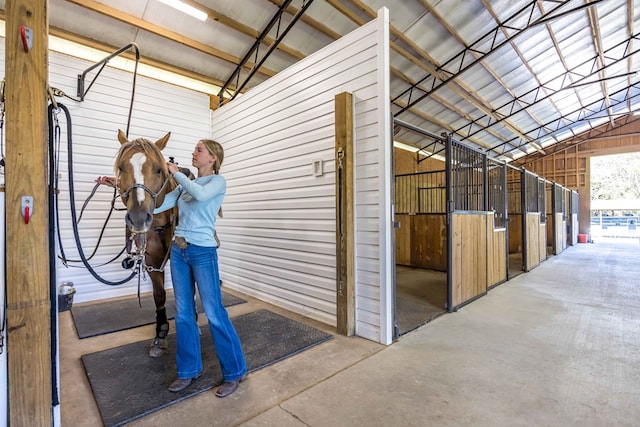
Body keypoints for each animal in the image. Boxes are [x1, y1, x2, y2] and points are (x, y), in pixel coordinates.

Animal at [114, 130, 176, 358]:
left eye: (159, 169)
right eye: (121, 168)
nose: (139, 218)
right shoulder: (152, 261)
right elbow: (159, 295)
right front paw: (161, 331)